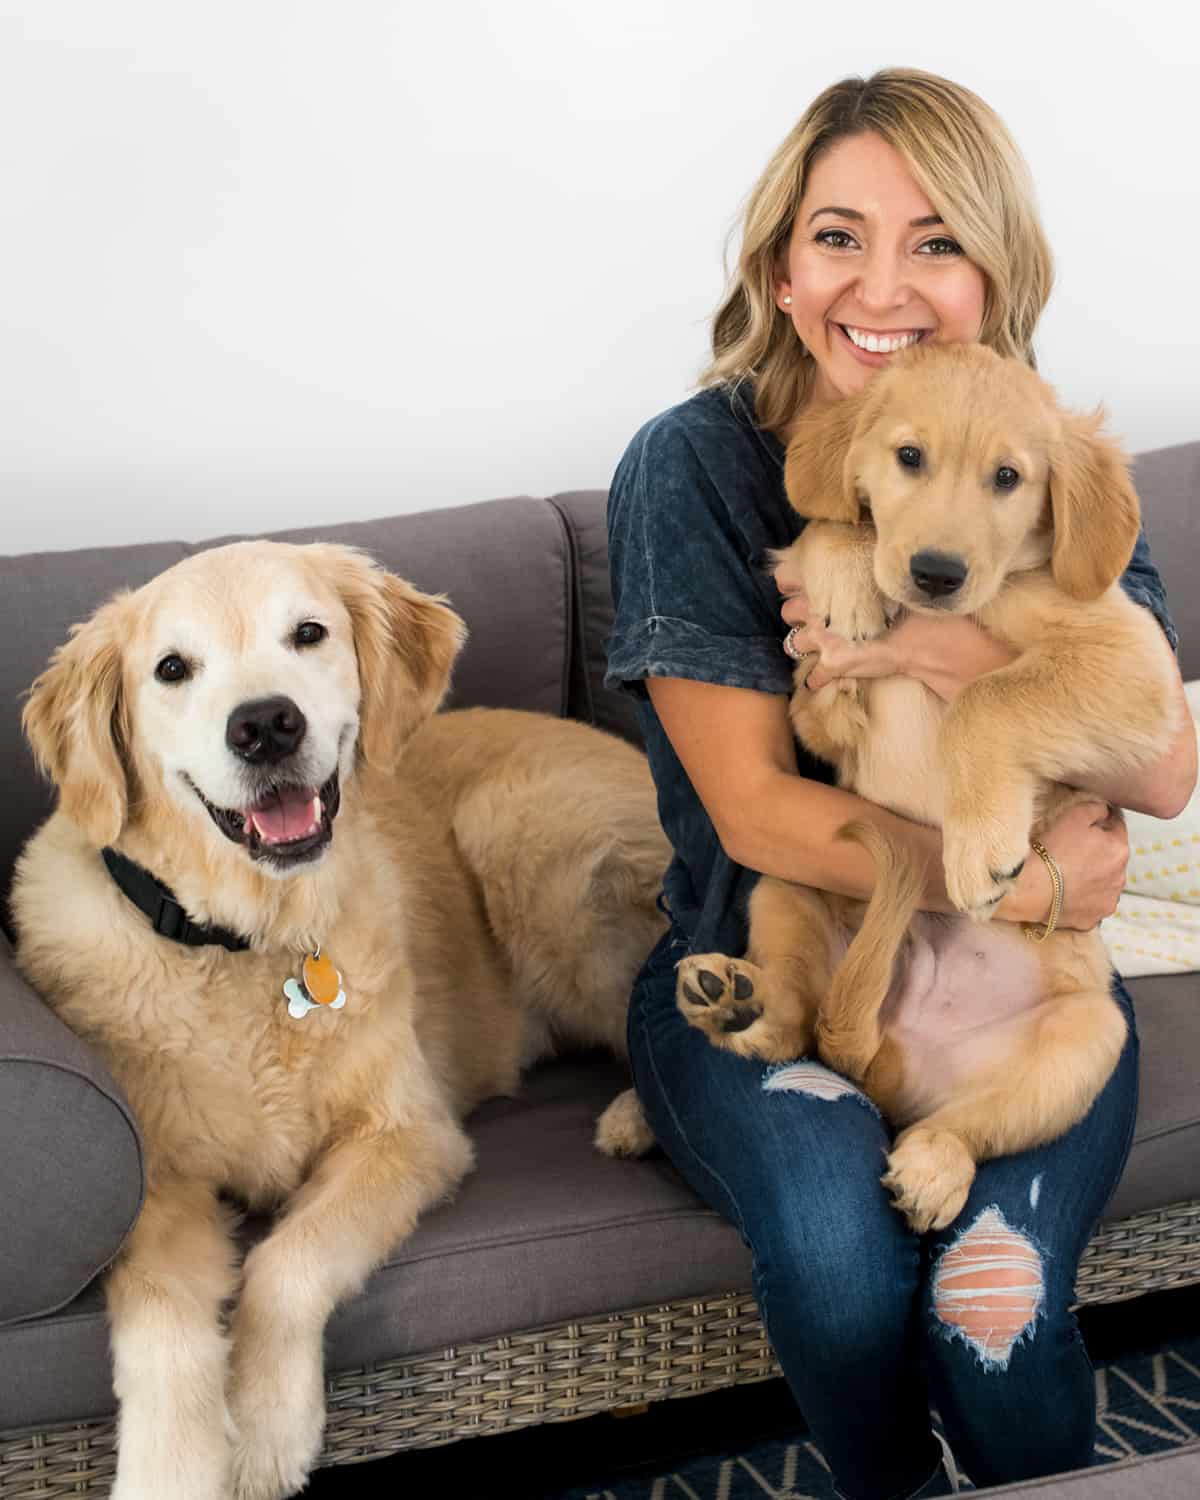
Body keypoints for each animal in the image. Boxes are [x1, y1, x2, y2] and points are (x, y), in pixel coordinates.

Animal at [9, 543, 666, 1500]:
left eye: (308, 632)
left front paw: (267, 1430)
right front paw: (174, 1469)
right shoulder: (157, 1185)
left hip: (524, 845)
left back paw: (641, 1112)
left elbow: (286, 1261)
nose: (265, 726)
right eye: (171, 669)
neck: (251, 945)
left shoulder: (409, 1135)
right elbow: (166, 1328)